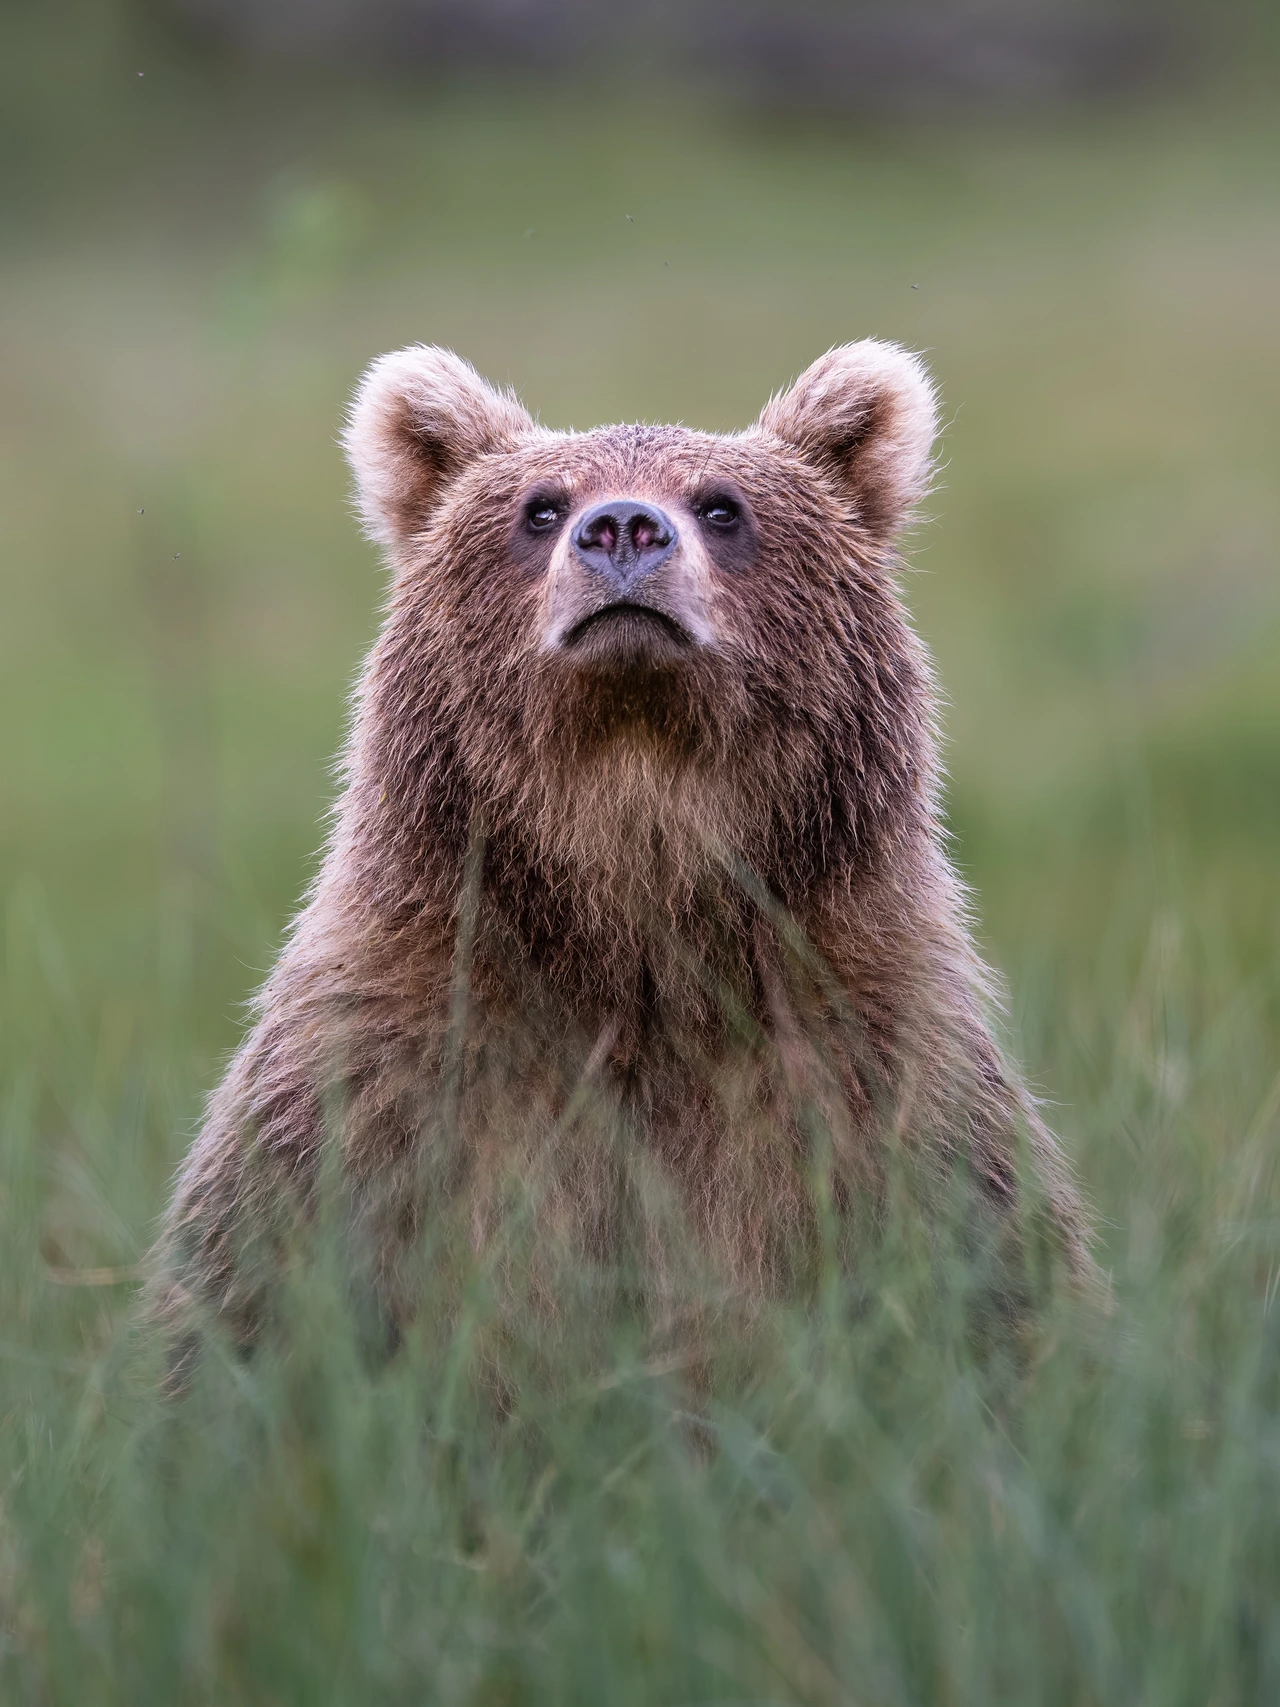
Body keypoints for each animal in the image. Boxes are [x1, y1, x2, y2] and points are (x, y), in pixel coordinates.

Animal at [157, 341, 1089, 1357]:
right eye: (542, 506)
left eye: (721, 504)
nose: (624, 529)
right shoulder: (379, 1078)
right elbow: (256, 1289)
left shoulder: (881, 1069)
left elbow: (989, 1272)